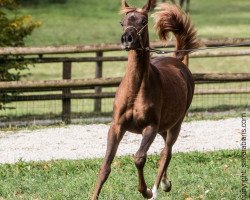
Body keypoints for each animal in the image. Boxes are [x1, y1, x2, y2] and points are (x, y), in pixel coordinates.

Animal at [92, 0, 199, 199]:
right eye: (123, 22)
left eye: (143, 21)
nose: (127, 39)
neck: (135, 91)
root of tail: (177, 61)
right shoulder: (117, 126)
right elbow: (105, 166)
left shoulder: (150, 127)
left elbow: (139, 158)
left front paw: (146, 191)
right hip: (164, 126)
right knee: (166, 150)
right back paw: (165, 183)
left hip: (175, 124)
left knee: (166, 152)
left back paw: (158, 188)